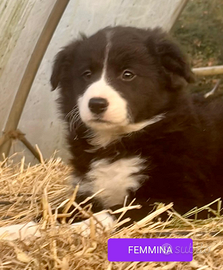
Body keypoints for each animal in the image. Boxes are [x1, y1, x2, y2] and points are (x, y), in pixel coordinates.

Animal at [50, 26, 223, 223]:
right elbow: (61, 210)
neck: (116, 143)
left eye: (128, 74)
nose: (96, 104)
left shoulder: (180, 199)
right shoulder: (87, 190)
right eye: (87, 74)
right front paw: (32, 225)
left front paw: (82, 226)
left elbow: (115, 213)